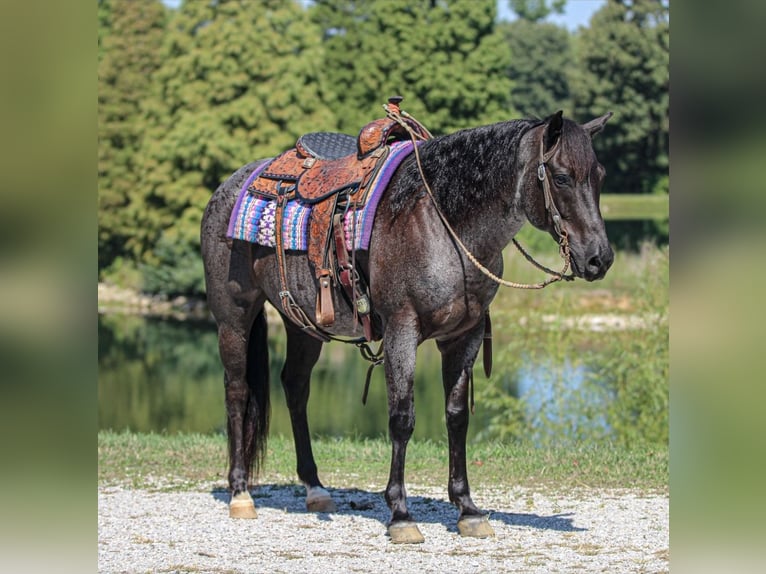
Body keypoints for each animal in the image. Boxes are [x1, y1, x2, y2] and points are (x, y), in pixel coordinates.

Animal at [200, 109, 614, 543]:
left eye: (600, 175)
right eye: (562, 177)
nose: (599, 259)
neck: (442, 225)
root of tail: (230, 185)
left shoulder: (463, 338)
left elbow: (457, 417)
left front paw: (467, 508)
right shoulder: (402, 331)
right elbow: (402, 418)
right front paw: (400, 513)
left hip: (303, 325)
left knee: (295, 388)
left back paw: (315, 488)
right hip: (233, 318)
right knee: (237, 391)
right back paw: (240, 492)